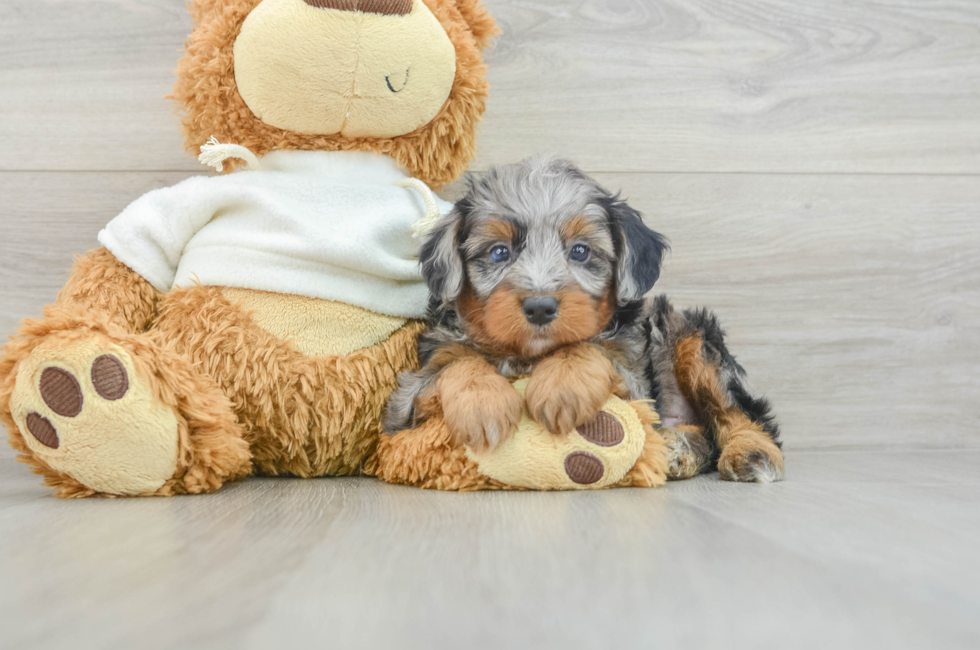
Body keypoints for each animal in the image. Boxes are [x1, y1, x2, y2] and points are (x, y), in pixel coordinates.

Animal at [386, 157, 784, 480]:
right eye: (499, 252)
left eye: (580, 251)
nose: (540, 307)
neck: (528, 355)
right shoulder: (407, 401)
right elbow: (456, 364)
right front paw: (482, 407)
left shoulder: (634, 384)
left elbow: (589, 347)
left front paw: (562, 387)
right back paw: (677, 450)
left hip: (690, 336)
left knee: (737, 410)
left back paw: (749, 451)